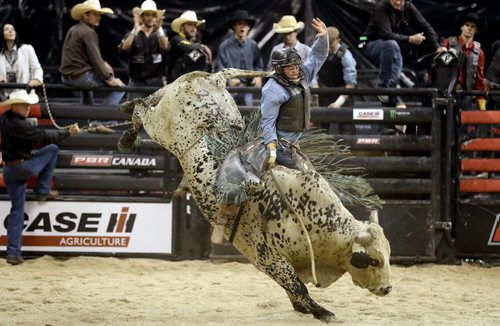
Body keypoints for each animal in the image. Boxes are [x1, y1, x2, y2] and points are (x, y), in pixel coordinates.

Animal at [117, 69, 390, 324]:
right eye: (373, 260)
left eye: (387, 255)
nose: (387, 288)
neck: (309, 215)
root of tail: (214, 78)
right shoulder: (266, 256)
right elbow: (296, 285)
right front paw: (322, 312)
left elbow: (292, 286)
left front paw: (303, 308)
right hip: (161, 126)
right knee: (142, 109)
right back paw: (126, 138)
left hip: (173, 98)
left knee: (150, 97)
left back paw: (125, 108)